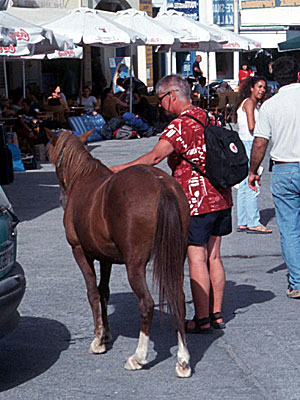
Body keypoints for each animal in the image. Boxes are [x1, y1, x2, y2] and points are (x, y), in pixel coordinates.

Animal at [47, 129, 192, 378]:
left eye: (54, 158)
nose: (61, 200)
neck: (82, 180)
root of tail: (161, 185)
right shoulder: (105, 258)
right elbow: (103, 292)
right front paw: (105, 334)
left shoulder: (80, 252)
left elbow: (92, 293)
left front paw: (98, 341)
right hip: (176, 259)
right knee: (179, 300)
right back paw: (182, 361)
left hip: (135, 265)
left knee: (146, 304)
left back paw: (138, 357)